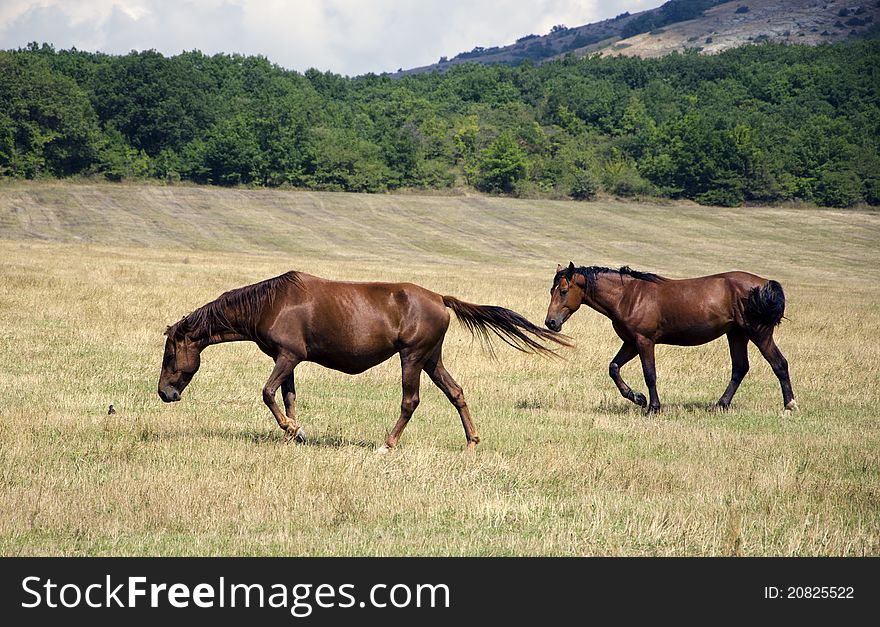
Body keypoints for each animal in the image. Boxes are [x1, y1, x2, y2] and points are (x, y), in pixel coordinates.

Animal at [158, 270, 572, 452]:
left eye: (170, 354)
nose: (164, 393)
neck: (270, 303)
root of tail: (441, 298)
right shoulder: (289, 359)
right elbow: (287, 398)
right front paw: (296, 432)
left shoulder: (287, 356)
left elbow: (267, 393)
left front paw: (292, 430)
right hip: (432, 359)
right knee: (456, 392)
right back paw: (471, 441)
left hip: (413, 357)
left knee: (410, 401)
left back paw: (387, 443)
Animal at [544, 262, 796, 414]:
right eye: (551, 290)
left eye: (563, 291)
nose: (551, 323)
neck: (628, 296)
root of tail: (764, 284)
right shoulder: (631, 343)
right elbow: (614, 368)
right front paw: (637, 398)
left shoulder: (644, 341)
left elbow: (650, 375)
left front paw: (653, 407)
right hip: (736, 334)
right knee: (740, 368)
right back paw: (720, 405)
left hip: (758, 333)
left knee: (779, 364)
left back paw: (790, 405)